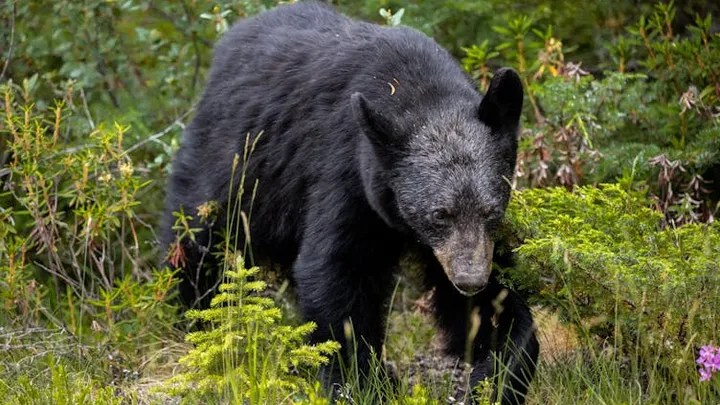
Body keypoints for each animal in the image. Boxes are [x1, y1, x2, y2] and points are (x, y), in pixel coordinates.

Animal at [161, 1, 539, 404]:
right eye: (439, 214)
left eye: (491, 211)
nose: (470, 280)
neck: (419, 90)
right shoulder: (347, 173)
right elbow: (338, 270)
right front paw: (362, 381)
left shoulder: (464, 244)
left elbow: (491, 304)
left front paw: (496, 371)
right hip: (232, 163)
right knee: (195, 239)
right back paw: (194, 316)